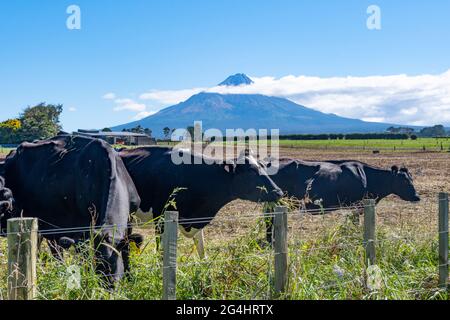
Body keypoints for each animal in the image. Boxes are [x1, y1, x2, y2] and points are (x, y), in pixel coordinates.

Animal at [264, 159, 422, 244]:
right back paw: (271, 241)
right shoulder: (356, 206)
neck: (368, 178)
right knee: (269, 219)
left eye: (412, 178)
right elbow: (355, 223)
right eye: (403, 181)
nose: (417, 196)